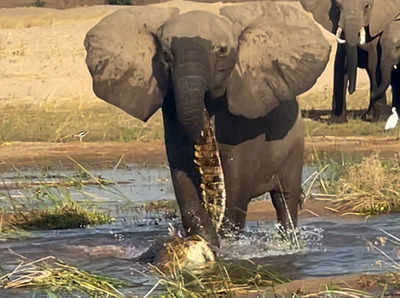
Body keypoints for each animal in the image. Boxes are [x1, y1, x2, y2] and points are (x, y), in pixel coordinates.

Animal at [83, 0, 330, 251]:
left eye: (222, 51)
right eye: (166, 55)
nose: (204, 109)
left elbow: (236, 178)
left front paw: (225, 244)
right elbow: (180, 167)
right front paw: (206, 241)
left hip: (294, 146)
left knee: (284, 200)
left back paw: (290, 244)